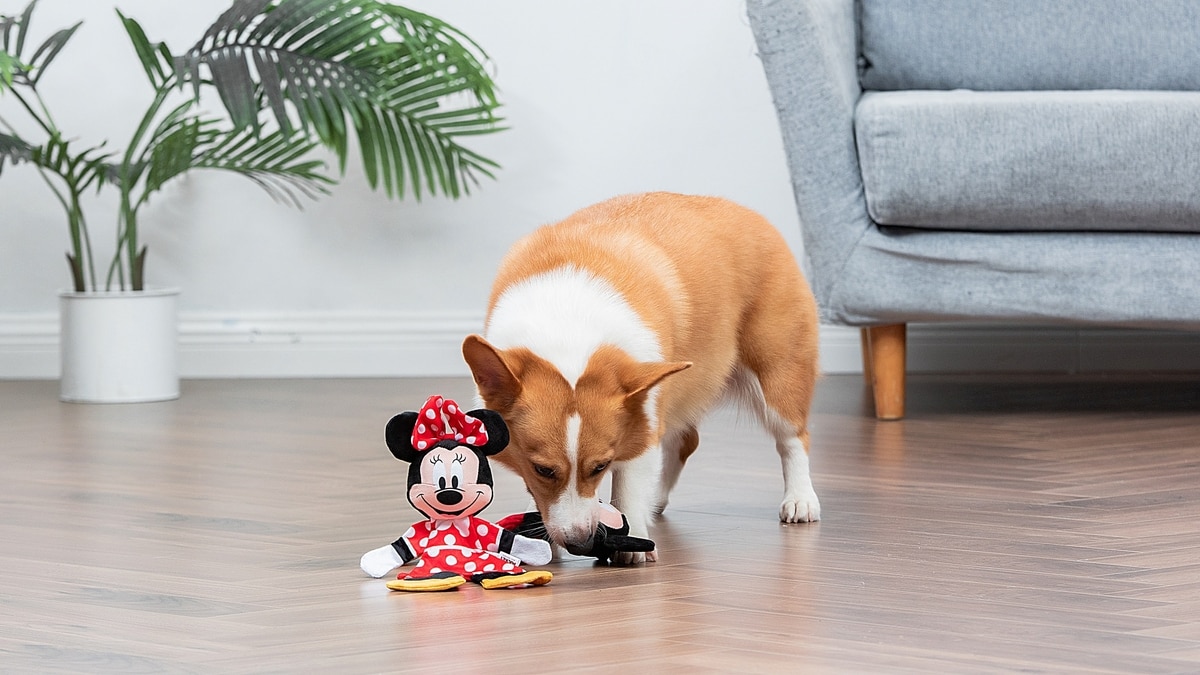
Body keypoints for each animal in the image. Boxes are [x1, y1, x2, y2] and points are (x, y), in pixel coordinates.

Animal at [462, 192, 820, 564]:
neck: (566, 329)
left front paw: (631, 541)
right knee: (685, 441)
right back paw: (658, 498)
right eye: (543, 470)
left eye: (601, 466)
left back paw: (800, 500)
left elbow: (629, 486)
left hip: (778, 375)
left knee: (793, 438)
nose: (581, 544)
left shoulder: (640, 420)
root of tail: (749, 213)